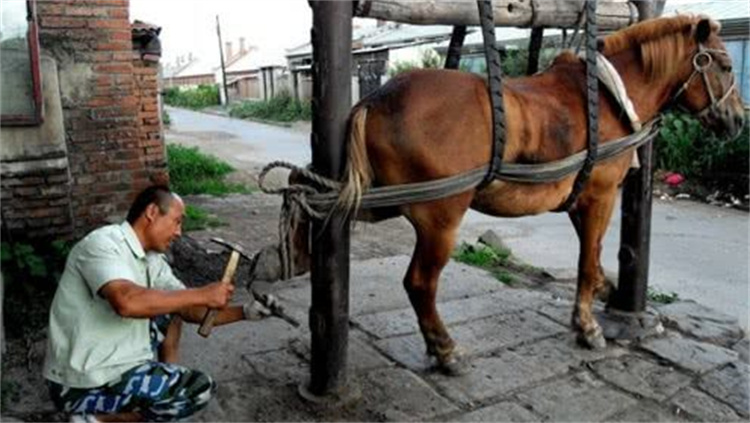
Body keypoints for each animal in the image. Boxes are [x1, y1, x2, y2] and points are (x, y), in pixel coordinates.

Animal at [286, 14, 748, 376]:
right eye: (726, 65)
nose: (738, 120)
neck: (609, 96)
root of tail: (376, 99)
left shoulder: (579, 199)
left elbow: (594, 254)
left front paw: (605, 287)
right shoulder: (601, 196)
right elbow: (585, 261)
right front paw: (587, 326)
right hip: (440, 219)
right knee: (419, 283)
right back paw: (445, 350)